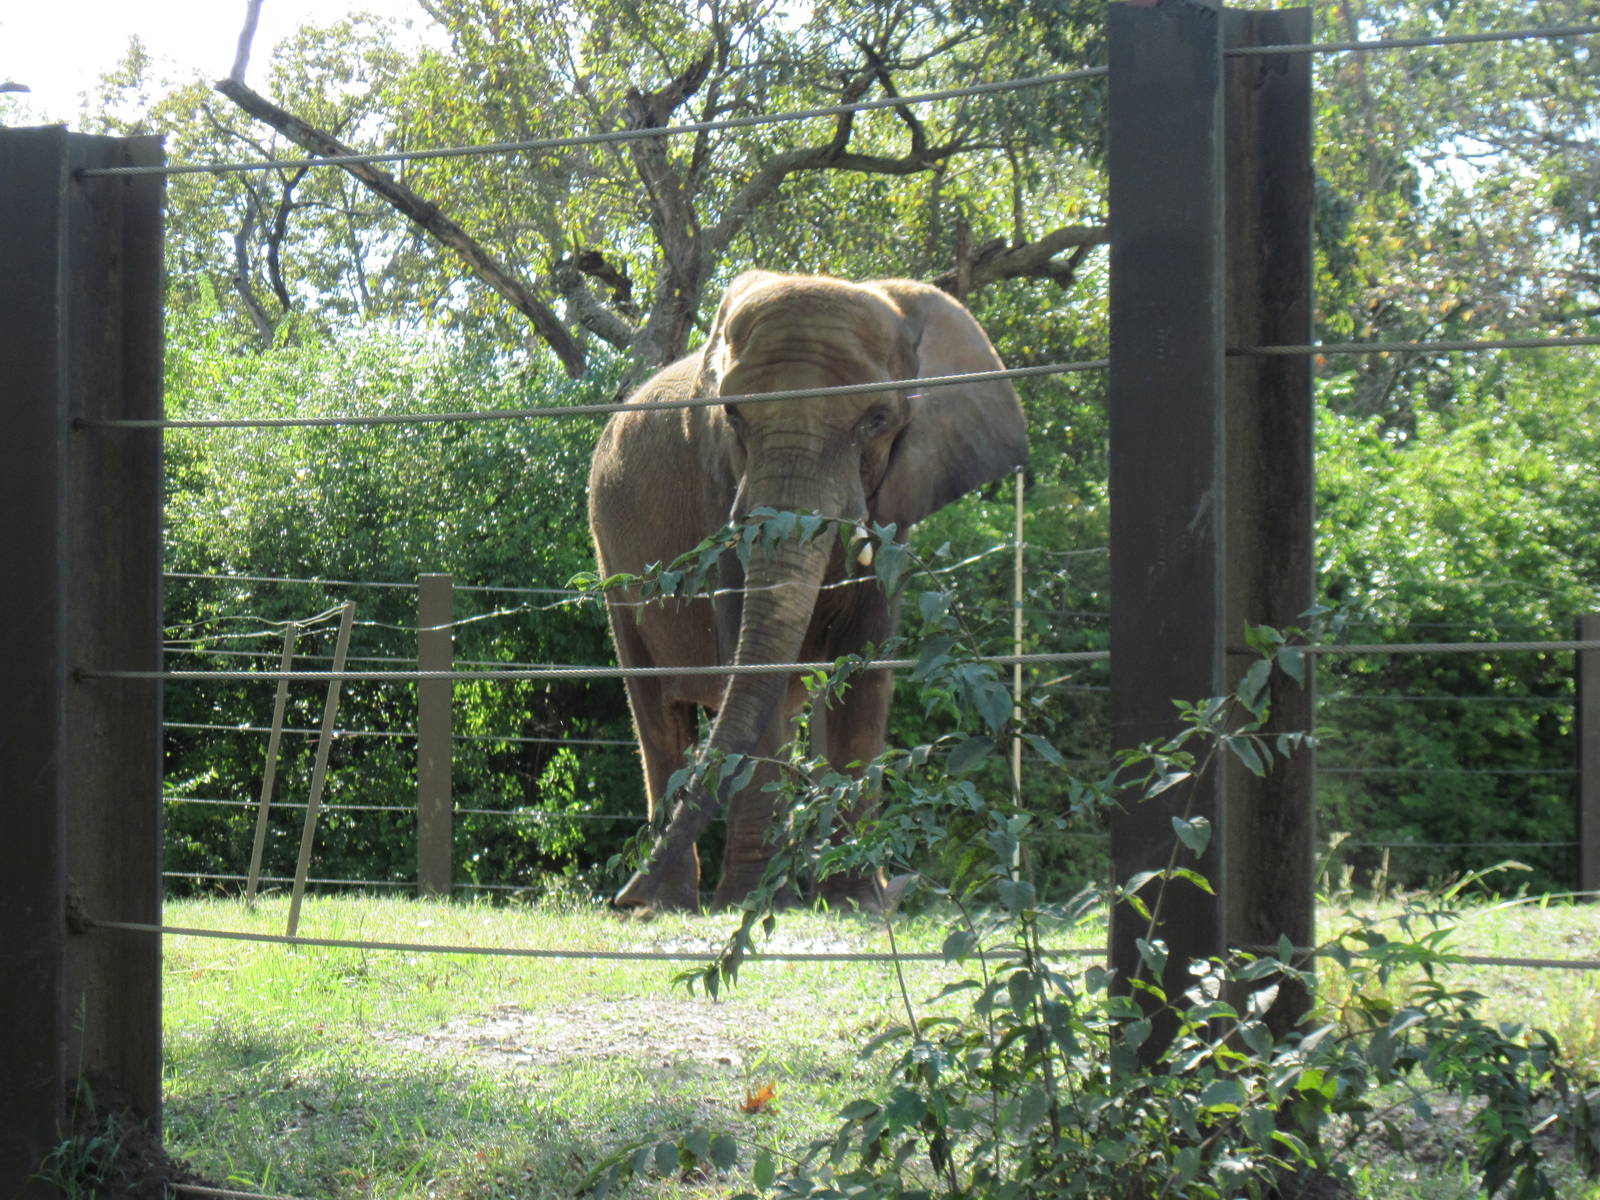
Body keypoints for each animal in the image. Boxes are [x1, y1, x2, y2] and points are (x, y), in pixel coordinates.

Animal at [588, 270, 1026, 912]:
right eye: (734, 417)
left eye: (876, 419)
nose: (617, 897)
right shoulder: (717, 484)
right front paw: (748, 904)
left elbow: (864, 667)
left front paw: (854, 904)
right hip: (610, 556)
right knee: (657, 709)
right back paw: (666, 904)